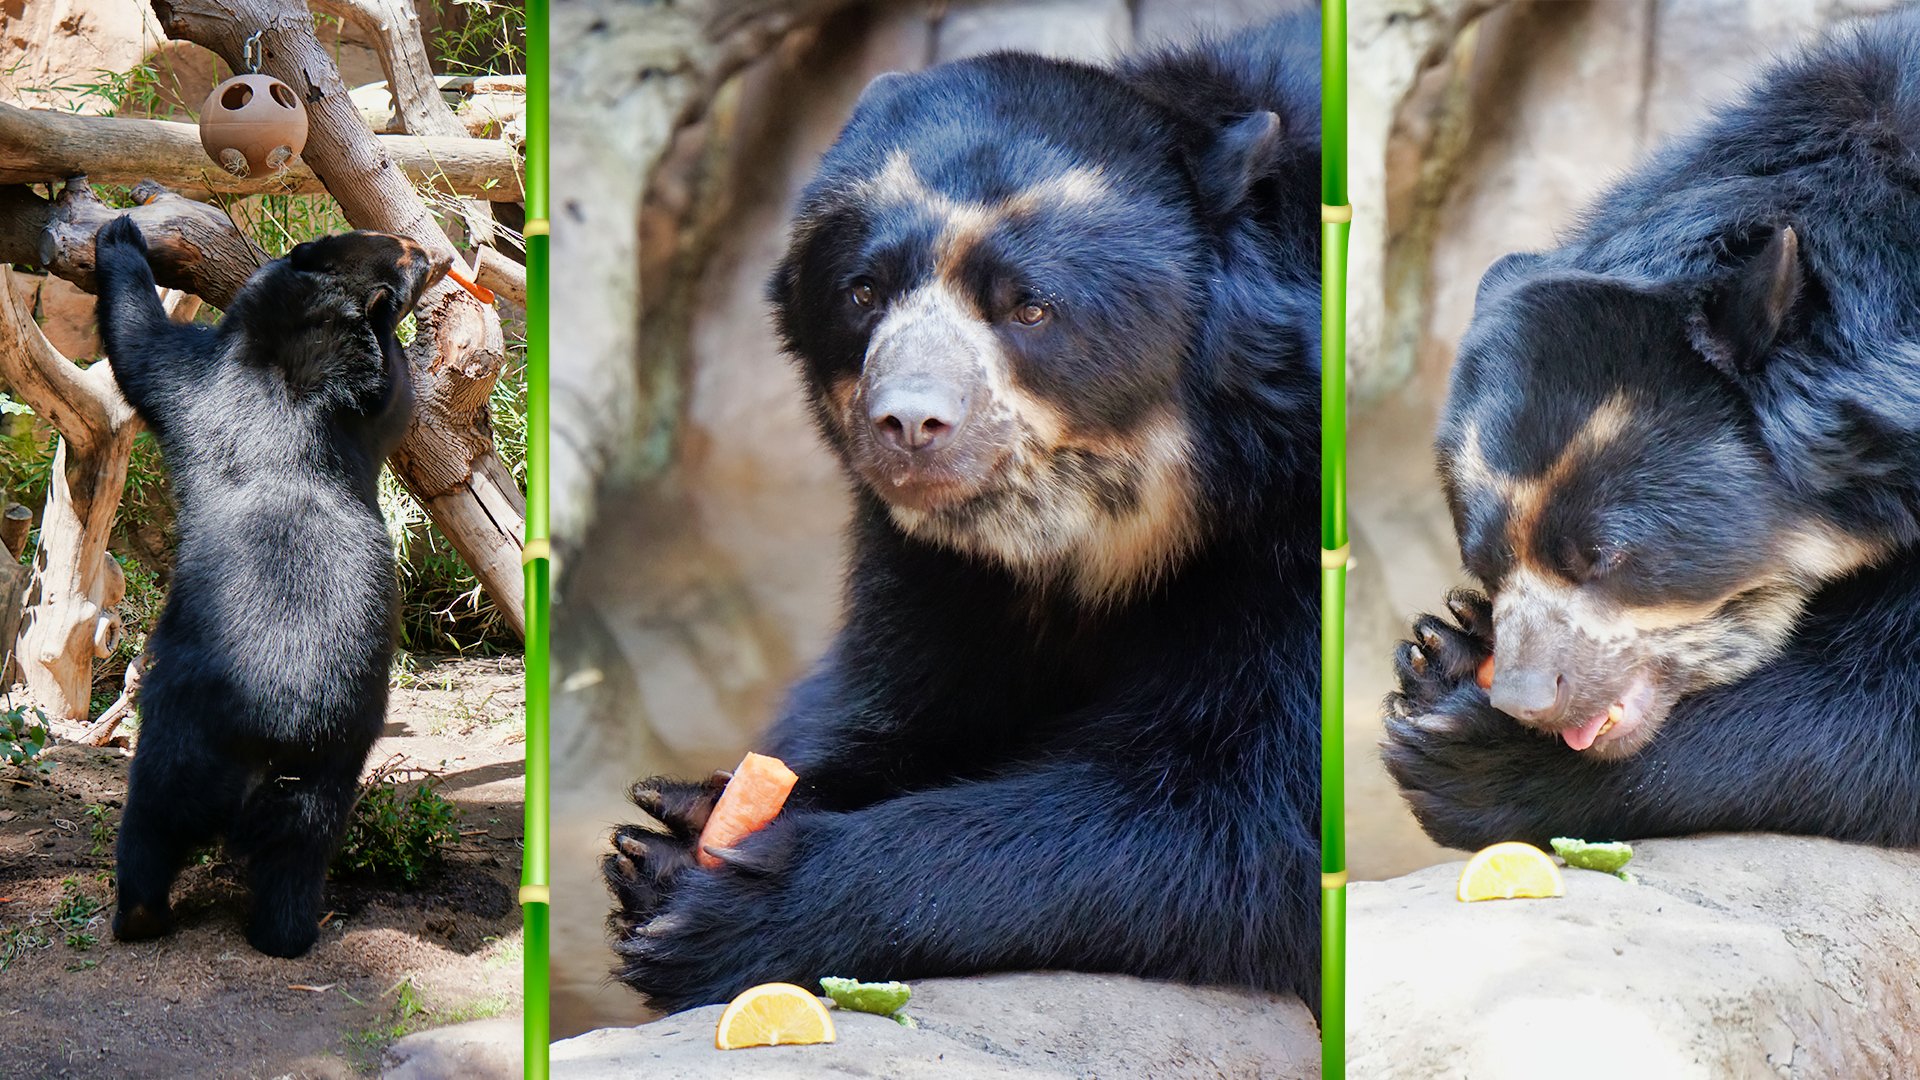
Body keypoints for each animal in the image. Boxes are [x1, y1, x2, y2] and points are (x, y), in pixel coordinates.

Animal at [93, 215, 445, 957]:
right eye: (403, 254)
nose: (432, 251)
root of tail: (268, 734)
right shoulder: (213, 382)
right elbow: (146, 352)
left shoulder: (205, 382)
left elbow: (144, 350)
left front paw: (120, 232)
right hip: (322, 767)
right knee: (294, 850)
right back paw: (283, 933)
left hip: (197, 740)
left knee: (153, 824)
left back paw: (146, 917)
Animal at [601, 15, 1324, 1015]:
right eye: (862, 291)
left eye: (1030, 307)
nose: (908, 424)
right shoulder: (941, 567)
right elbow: (907, 700)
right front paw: (681, 822)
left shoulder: (1286, 540)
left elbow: (1245, 816)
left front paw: (723, 899)